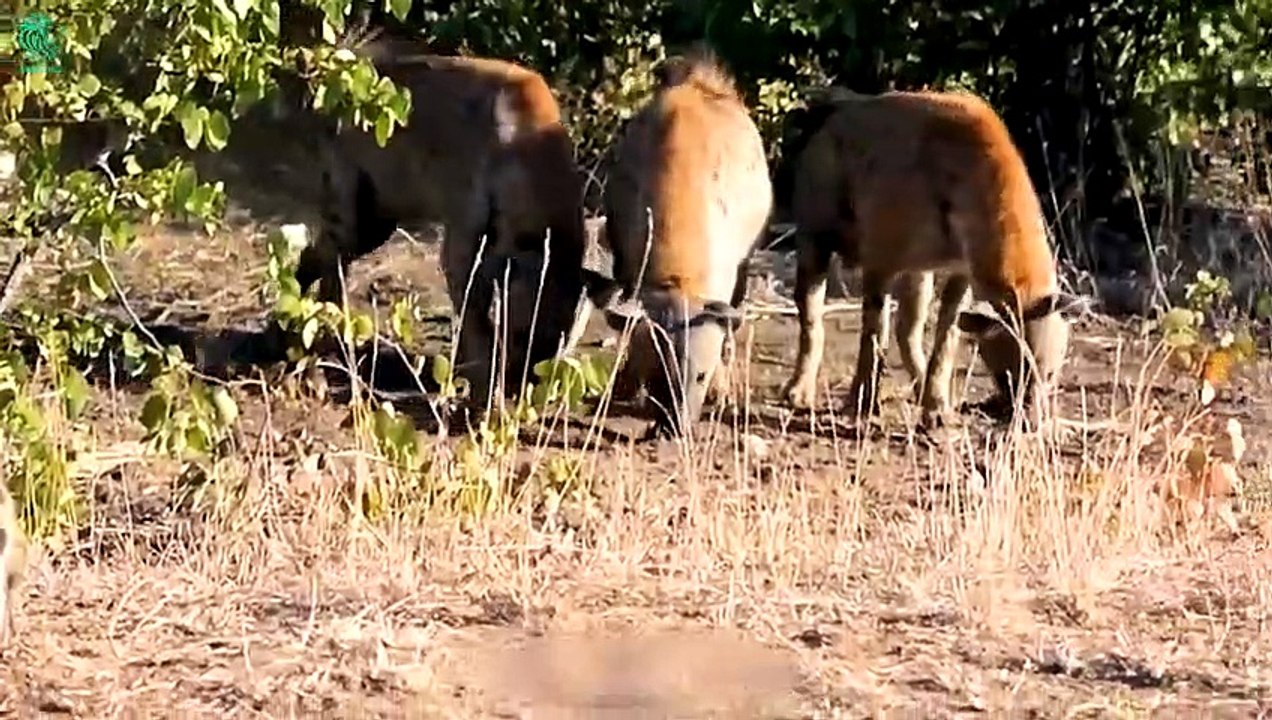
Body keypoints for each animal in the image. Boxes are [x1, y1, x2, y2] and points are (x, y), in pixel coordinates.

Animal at [293, 37, 591, 411]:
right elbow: (475, 321)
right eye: (525, 334)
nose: (526, 387)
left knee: (325, 264)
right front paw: (484, 400)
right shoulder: (463, 240)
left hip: (376, 221)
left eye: (559, 341)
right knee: (321, 261)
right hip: (352, 213)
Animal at [776, 87, 1082, 427]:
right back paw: (797, 394)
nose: (1031, 423)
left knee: (908, 327)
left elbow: (946, 333)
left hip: (919, 269)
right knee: (811, 308)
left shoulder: (960, 269)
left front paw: (937, 411)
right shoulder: (881, 253)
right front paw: (860, 407)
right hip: (815, 228)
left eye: (1050, 374)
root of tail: (825, 115)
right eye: (1007, 377)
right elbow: (873, 331)